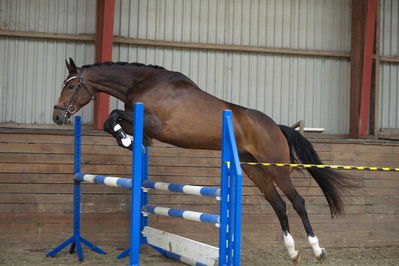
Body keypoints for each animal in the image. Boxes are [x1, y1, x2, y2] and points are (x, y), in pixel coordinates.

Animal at [52, 58, 354, 264]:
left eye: (71, 85)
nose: (57, 115)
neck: (143, 83)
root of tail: (276, 127)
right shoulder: (145, 124)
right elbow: (110, 121)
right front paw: (129, 141)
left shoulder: (157, 125)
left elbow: (113, 115)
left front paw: (127, 141)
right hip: (253, 169)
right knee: (278, 204)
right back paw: (292, 252)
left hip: (275, 169)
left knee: (297, 201)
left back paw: (317, 250)